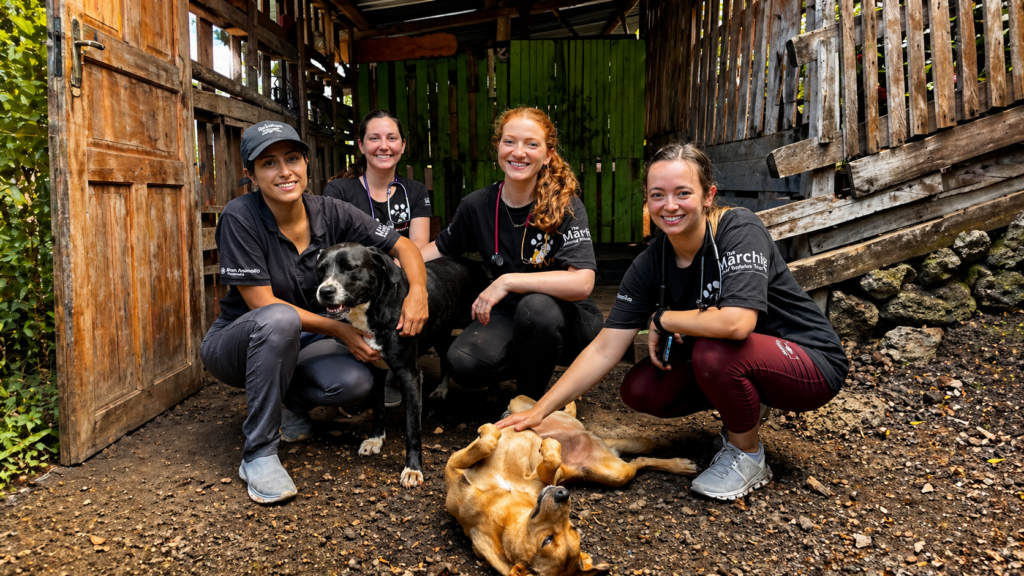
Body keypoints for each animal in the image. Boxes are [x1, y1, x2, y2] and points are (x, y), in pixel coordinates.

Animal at [315, 243, 485, 488]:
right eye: (321, 270)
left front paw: (413, 468)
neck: (375, 309)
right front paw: (376, 439)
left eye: (351, 268)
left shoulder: (410, 375)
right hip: (441, 331)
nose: (325, 291)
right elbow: (378, 409)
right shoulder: (375, 372)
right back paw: (442, 388)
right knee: (445, 356)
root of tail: (471, 262)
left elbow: (412, 428)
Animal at [445, 396, 698, 576]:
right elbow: (488, 443)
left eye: (571, 528)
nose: (562, 493)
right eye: (548, 540)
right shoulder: (454, 467)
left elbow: (548, 460)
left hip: (614, 472)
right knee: (639, 458)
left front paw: (547, 447)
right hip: (615, 471)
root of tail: (599, 442)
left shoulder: (545, 478)